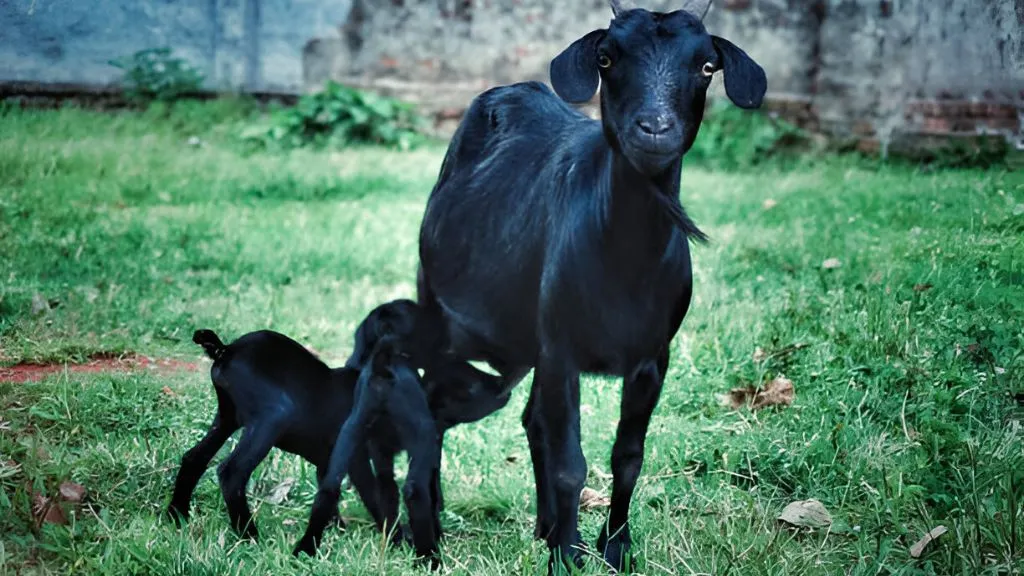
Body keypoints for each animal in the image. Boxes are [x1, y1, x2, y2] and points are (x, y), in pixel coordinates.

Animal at [166, 300, 510, 567]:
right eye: (466, 381)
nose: (501, 385)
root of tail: (225, 350)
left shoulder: (334, 460)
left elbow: (334, 497)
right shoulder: (363, 460)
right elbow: (379, 500)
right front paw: (405, 542)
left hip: (226, 419)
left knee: (194, 458)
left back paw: (176, 515)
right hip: (270, 419)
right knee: (231, 472)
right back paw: (249, 535)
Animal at [415, 0, 766, 572]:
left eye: (707, 66)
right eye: (606, 58)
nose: (654, 128)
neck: (625, 260)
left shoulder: (652, 357)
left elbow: (627, 457)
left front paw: (612, 546)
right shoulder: (563, 349)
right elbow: (570, 463)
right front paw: (565, 556)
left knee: (528, 419)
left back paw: (545, 526)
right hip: (441, 312)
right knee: (430, 405)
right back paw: (432, 523)